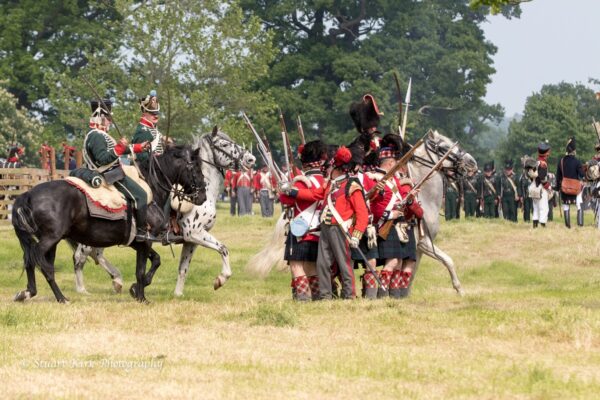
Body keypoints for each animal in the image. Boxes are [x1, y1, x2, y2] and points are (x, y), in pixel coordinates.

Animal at [9, 145, 204, 304]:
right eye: (195, 168)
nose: (202, 196)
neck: (151, 188)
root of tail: (28, 194)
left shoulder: (137, 242)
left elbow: (155, 260)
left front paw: (135, 290)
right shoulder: (145, 241)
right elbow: (141, 270)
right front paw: (142, 297)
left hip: (52, 241)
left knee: (32, 260)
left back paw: (28, 293)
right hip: (50, 239)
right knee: (42, 263)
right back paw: (61, 298)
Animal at [71, 126, 254, 296]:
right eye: (224, 144)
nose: (251, 159)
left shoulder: (191, 241)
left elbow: (183, 268)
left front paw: (178, 294)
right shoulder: (194, 233)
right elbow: (223, 248)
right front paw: (221, 279)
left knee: (95, 253)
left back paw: (115, 280)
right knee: (81, 256)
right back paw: (82, 289)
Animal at [246, 130, 476, 296]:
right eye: (443, 146)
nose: (472, 164)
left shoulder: (416, 247)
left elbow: (411, 272)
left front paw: (404, 293)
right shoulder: (423, 243)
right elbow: (448, 261)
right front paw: (459, 289)